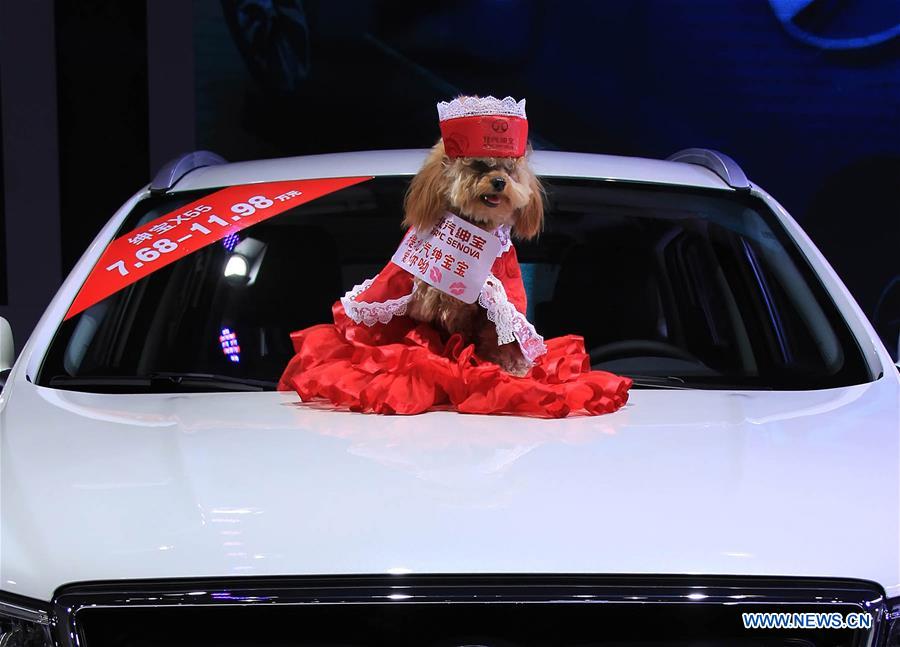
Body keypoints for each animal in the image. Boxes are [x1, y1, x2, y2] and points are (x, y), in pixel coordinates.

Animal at [404, 141, 544, 374]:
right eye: (479, 165)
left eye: (509, 169)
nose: (499, 181)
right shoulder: (429, 300)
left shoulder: (498, 310)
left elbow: (505, 337)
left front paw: (512, 365)